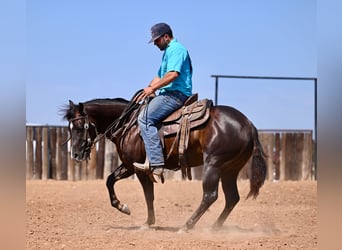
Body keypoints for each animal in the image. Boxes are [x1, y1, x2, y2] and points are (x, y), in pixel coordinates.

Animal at [63, 92, 268, 230]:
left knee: (210, 196)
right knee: (232, 198)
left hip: (214, 165)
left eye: (81, 126)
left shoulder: (140, 168)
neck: (129, 124)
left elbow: (148, 195)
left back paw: (187, 226)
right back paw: (214, 228)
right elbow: (109, 180)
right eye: (70, 127)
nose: (75, 154)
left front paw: (148, 223)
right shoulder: (129, 166)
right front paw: (123, 207)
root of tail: (249, 125)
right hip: (229, 170)